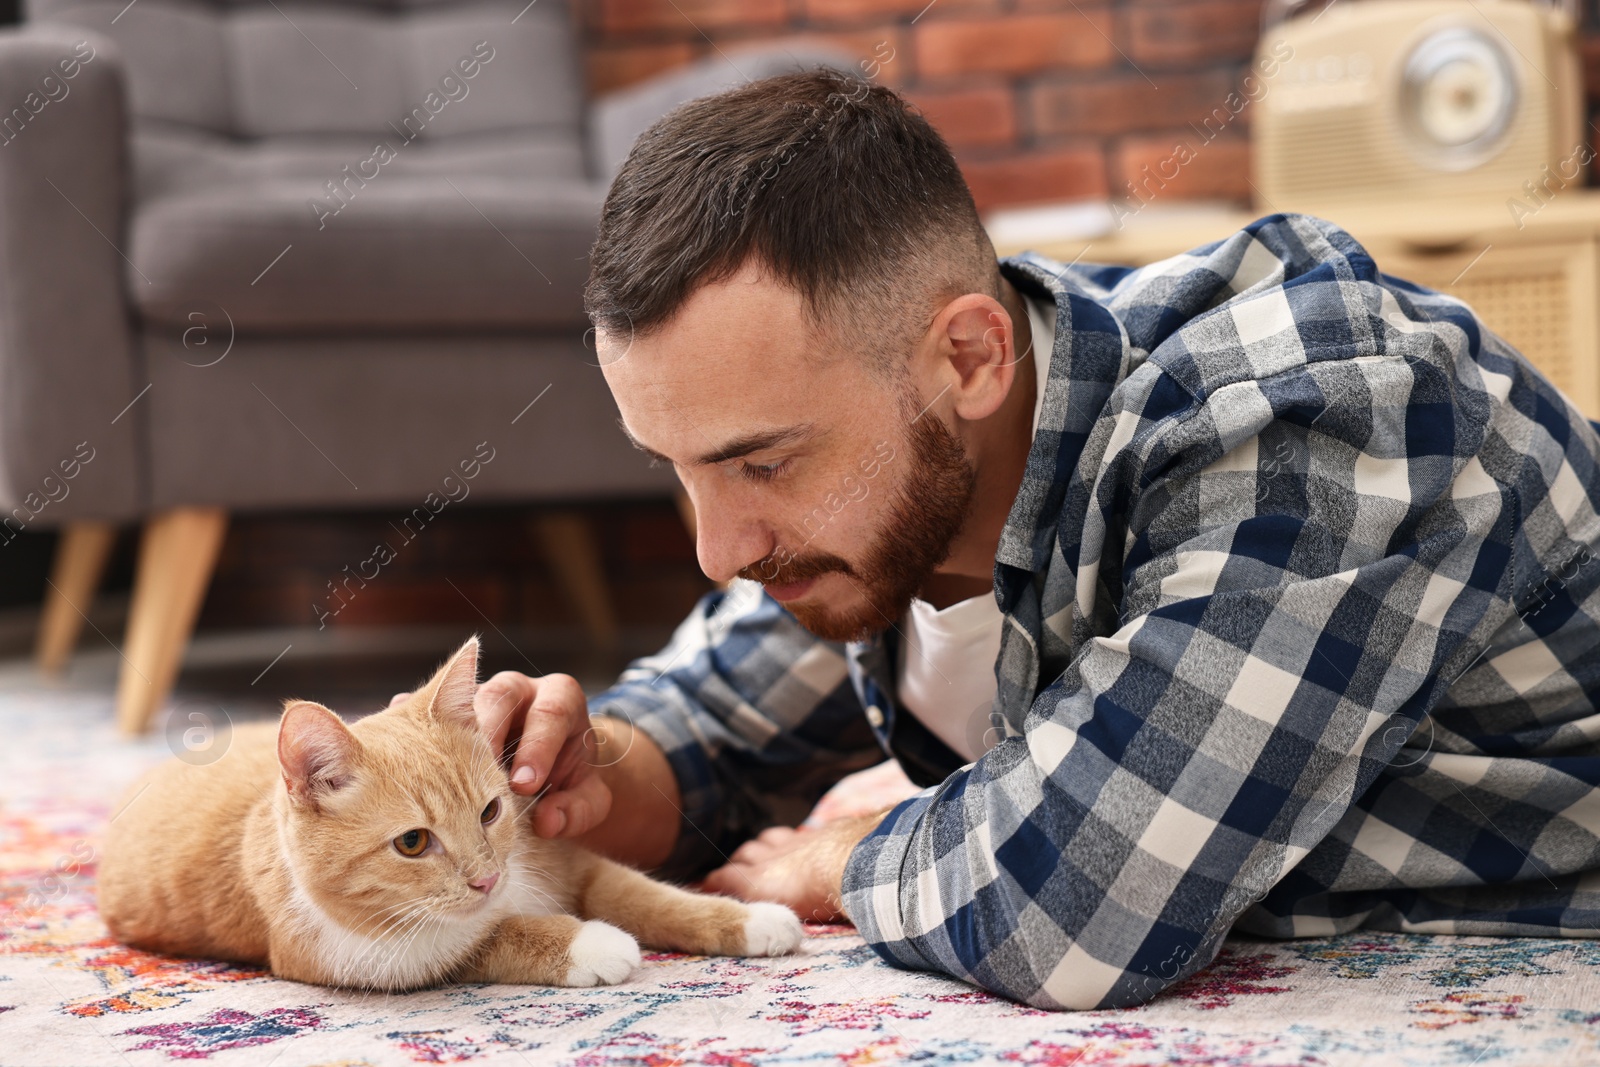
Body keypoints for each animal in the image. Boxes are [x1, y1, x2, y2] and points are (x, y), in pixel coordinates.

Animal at [96, 633, 800, 991]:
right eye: (412, 843)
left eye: (491, 811)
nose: (487, 879)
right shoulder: (360, 956)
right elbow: (485, 938)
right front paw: (590, 942)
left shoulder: (570, 861)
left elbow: (645, 895)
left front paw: (750, 918)